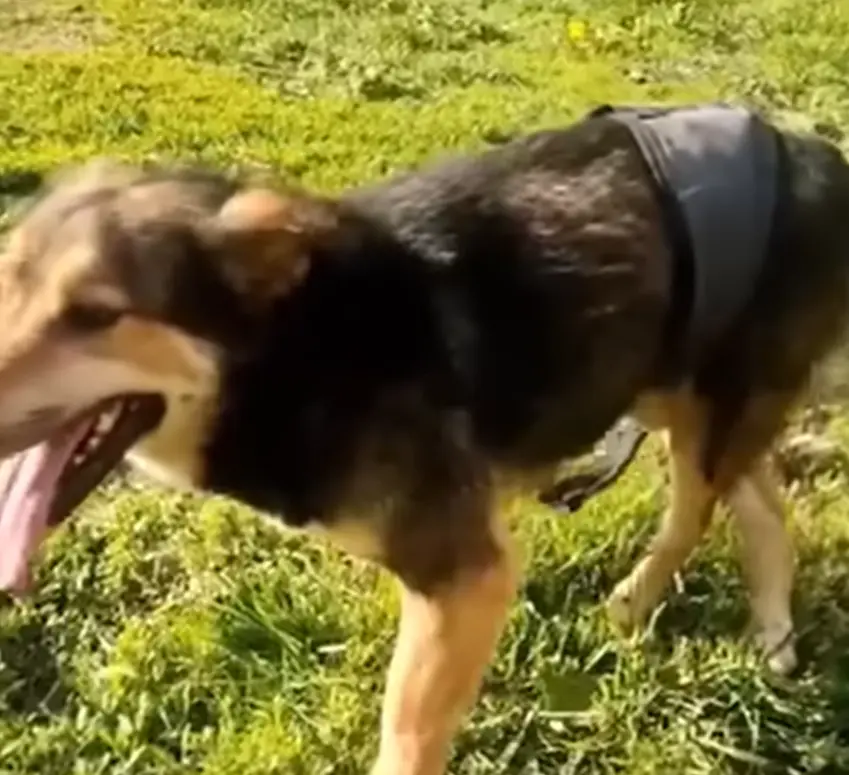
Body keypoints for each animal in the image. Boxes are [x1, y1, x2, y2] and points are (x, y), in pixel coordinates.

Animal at [0, 101, 848, 774]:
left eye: (96, 313)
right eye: (5, 282)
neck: (298, 348)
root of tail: (816, 156)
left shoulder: (466, 575)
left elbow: (406, 732)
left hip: (705, 397)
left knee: (696, 509)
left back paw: (643, 604)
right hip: (670, 386)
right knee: (757, 497)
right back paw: (769, 628)